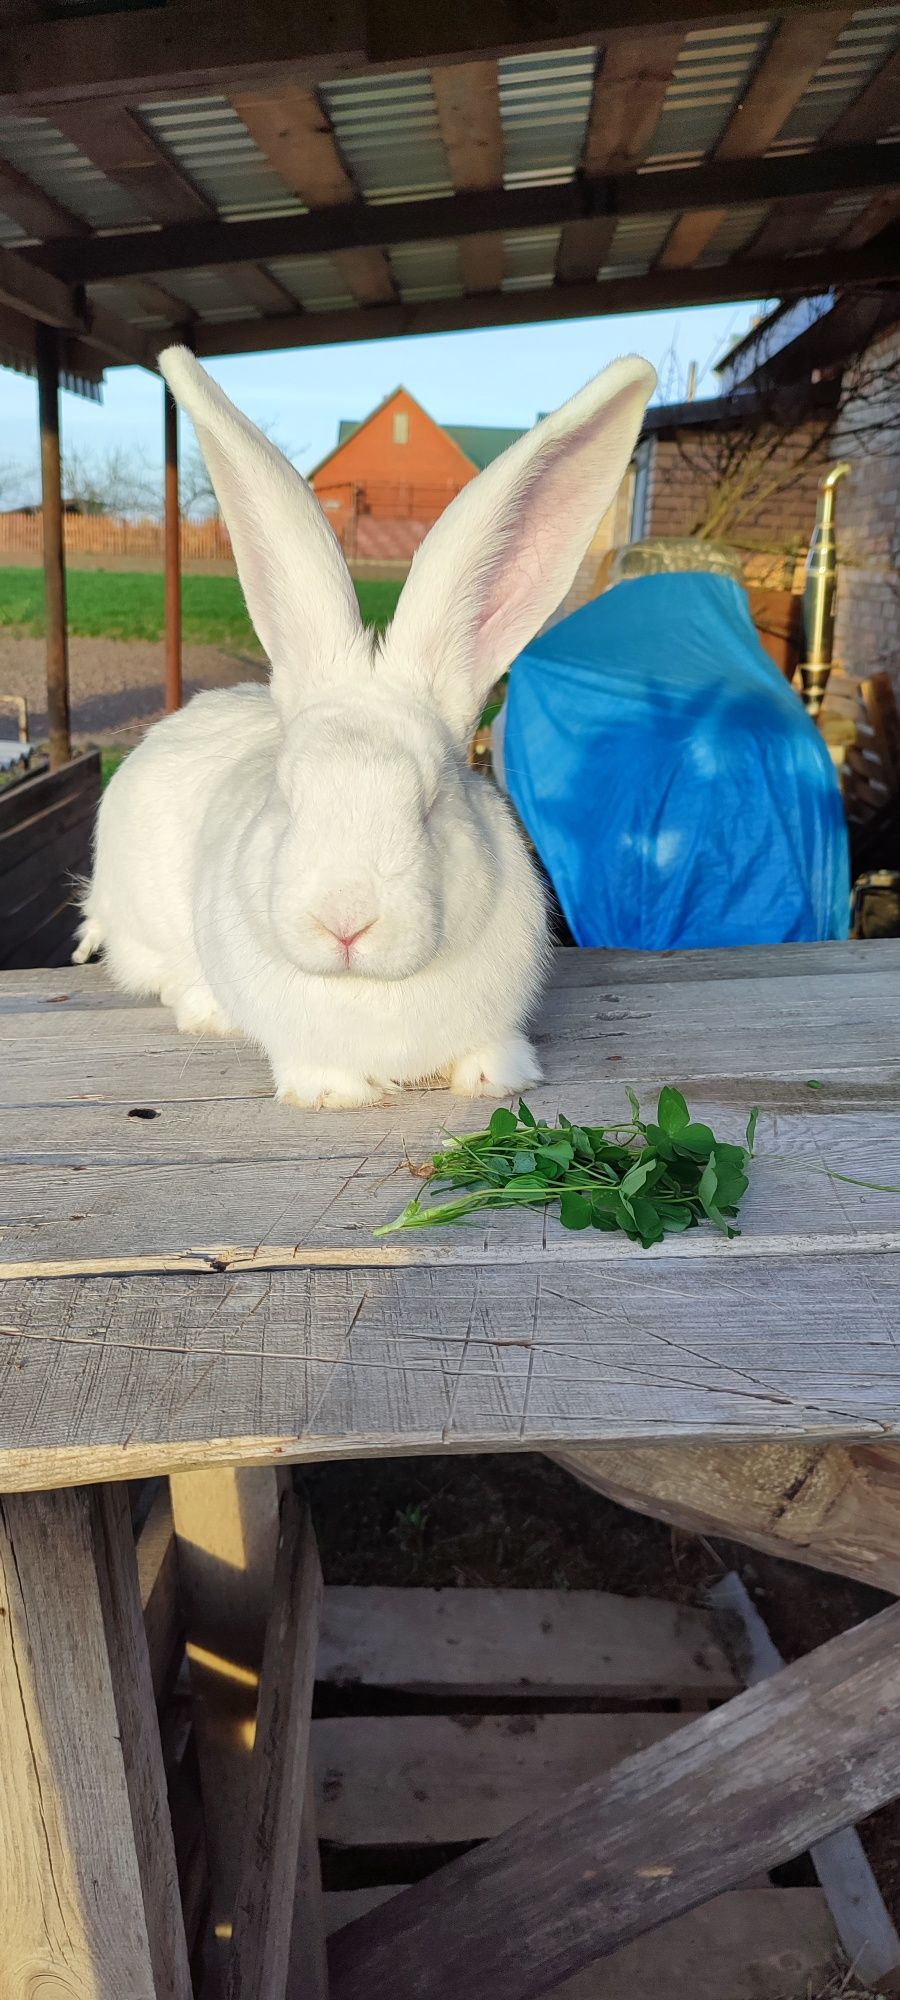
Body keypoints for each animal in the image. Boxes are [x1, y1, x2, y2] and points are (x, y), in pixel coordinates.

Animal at [77, 336, 652, 1104]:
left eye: (432, 805)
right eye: (287, 799)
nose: (345, 923)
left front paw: (494, 1081)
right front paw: (331, 1095)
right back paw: (205, 1009)